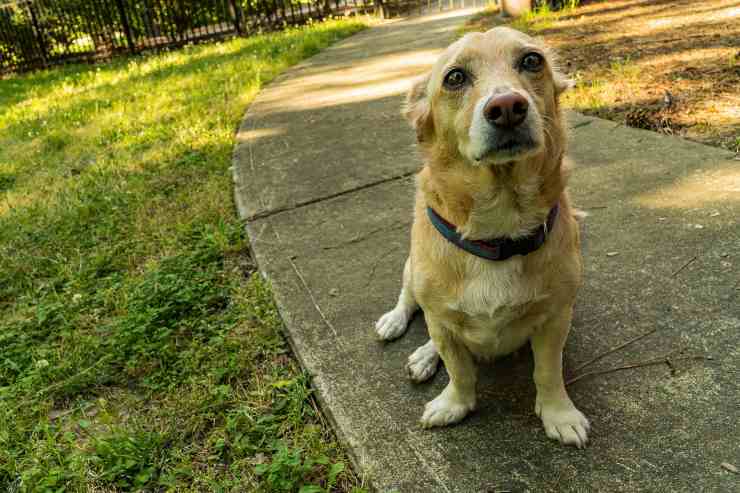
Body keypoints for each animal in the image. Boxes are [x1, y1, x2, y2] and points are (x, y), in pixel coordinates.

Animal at [376, 28, 588, 448]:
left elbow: (548, 371)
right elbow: (459, 369)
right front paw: (454, 403)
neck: (499, 228)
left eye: (532, 60)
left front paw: (558, 413)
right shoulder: (442, 322)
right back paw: (404, 333)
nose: (507, 107)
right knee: (411, 303)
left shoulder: (555, 319)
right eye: (455, 77)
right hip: (412, 273)